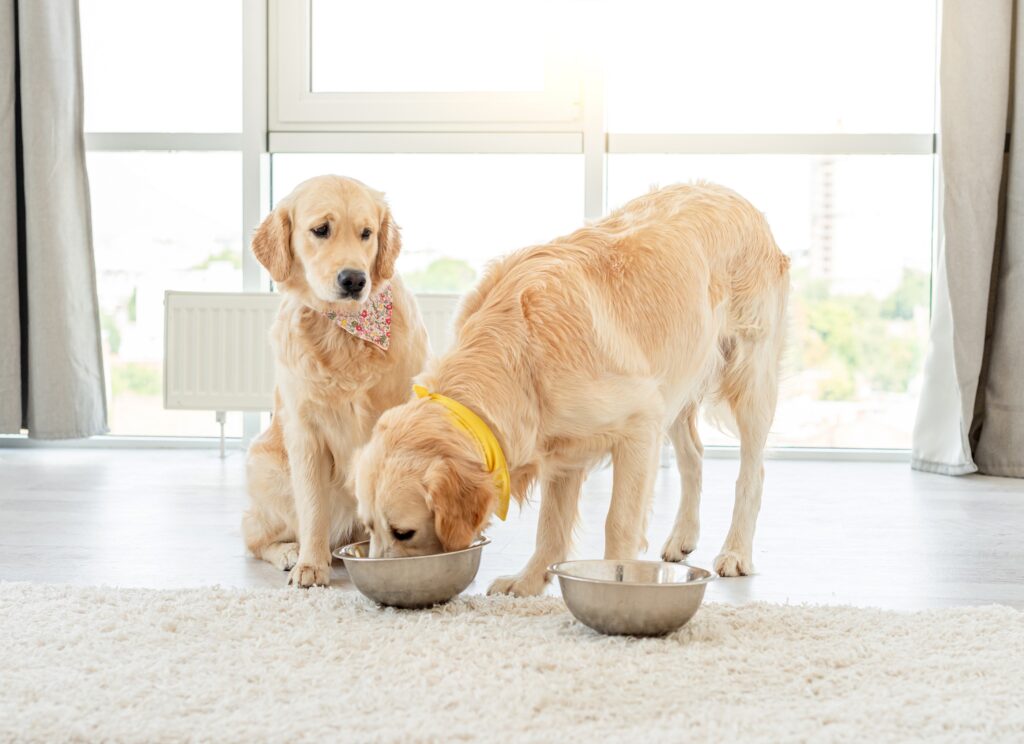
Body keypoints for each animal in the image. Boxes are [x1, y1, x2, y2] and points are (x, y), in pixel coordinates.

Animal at [244, 176, 428, 589]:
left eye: (367, 233)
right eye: (321, 230)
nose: (354, 279)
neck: (344, 331)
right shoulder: (305, 430)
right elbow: (313, 509)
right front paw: (311, 566)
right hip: (265, 467)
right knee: (254, 537)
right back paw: (289, 552)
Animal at [354, 183, 790, 597]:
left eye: (404, 532)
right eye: (368, 527)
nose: (383, 584)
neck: (521, 357)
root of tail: (738, 198)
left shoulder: (638, 423)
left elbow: (618, 520)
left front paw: (618, 582)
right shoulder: (562, 449)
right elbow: (551, 525)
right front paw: (528, 581)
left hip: (748, 375)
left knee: (753, 471)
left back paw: (736, 551)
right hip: (676, 381)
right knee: (693, 457)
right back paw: (682, 537)